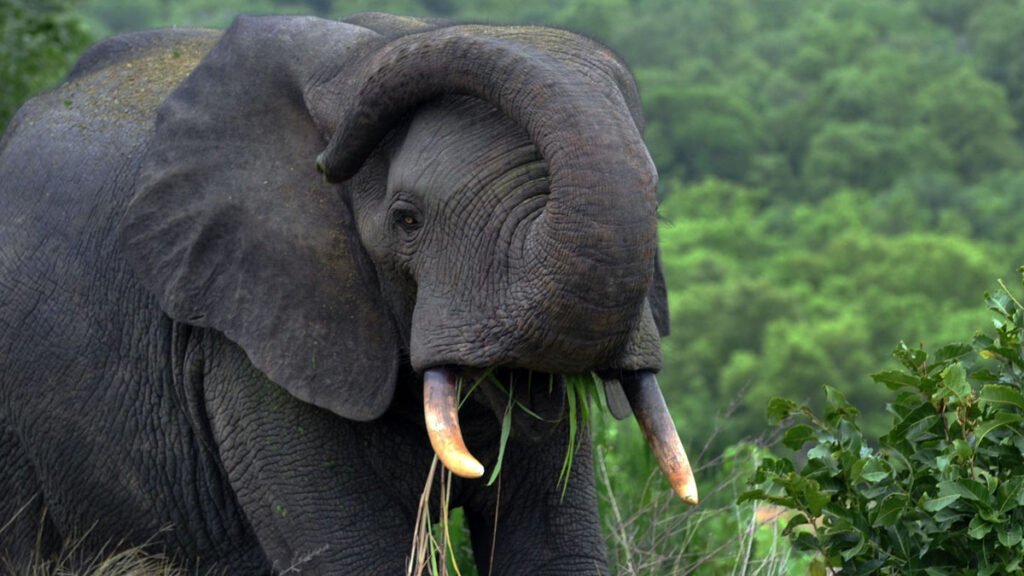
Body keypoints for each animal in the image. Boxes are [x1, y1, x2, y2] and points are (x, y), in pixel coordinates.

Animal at [0, 11, 696, 575]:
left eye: (657, 209)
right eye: (407, 219)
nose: (330, 157)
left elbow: (554, 544)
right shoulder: (253, 336)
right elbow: (353, 552)